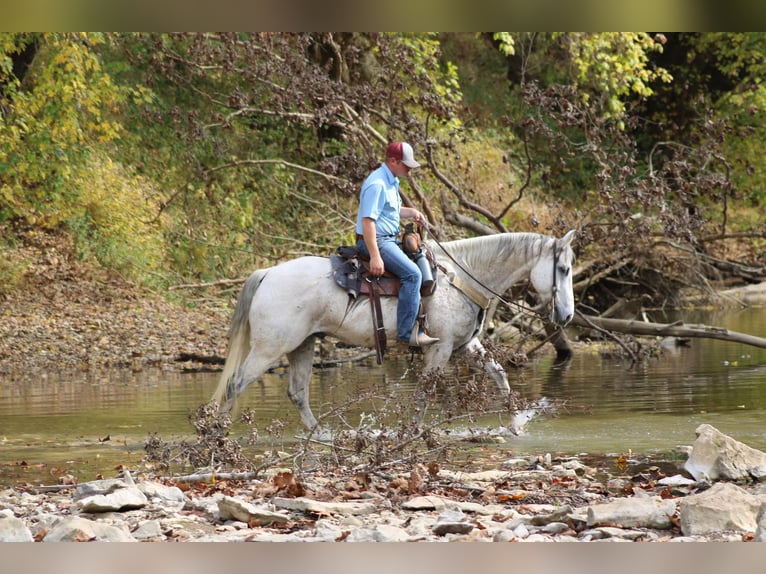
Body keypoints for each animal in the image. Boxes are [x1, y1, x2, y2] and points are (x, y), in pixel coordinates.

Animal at [213, 232, 580, 430]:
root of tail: (268, 273)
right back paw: (217, 435)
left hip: (302, 345)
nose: (566, 315)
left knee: (298, 393)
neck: (461, 277)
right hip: (269, 349)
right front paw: (412, 432)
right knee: (235, 385)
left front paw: (517, 424)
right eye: (563, 269)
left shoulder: (465, 345)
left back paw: (322, 437)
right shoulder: (440, 348)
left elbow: (499, 374)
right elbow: (424, 393)